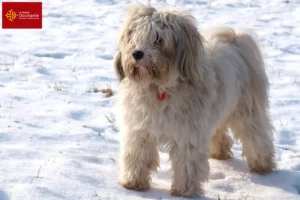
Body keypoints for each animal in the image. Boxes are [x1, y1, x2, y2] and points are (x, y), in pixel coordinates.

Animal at [114, 3, 276, 198]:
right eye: (133, 36)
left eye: (159, 39)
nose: (137, 53)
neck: (160, 89)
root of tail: (235, 40)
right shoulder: (140, 130)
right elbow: (137, 155)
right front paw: (133, 183)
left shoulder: (188, 134)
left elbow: (187, 163)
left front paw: (184, 191)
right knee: (220, 132)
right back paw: (219, 152)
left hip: (246, 110)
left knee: (256, 136)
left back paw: (262, 164)